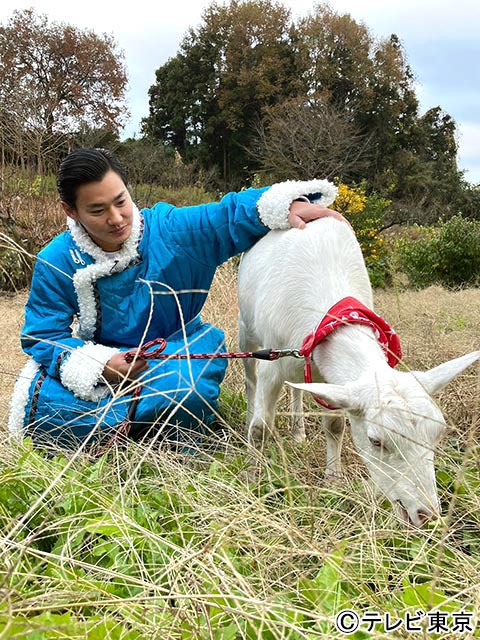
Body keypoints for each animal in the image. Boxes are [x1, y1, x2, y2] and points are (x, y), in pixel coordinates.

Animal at [237, 218, 480, 528]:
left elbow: (335, 426)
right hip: (247, 333)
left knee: (295, 388)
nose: (427, 516)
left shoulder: (327, 374)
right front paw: (251, 478)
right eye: (377, 441)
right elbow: (261, 429)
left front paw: (333, 479)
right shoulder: (274, 362)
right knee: (250, 379)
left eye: (438, 432)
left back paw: (298, 433)